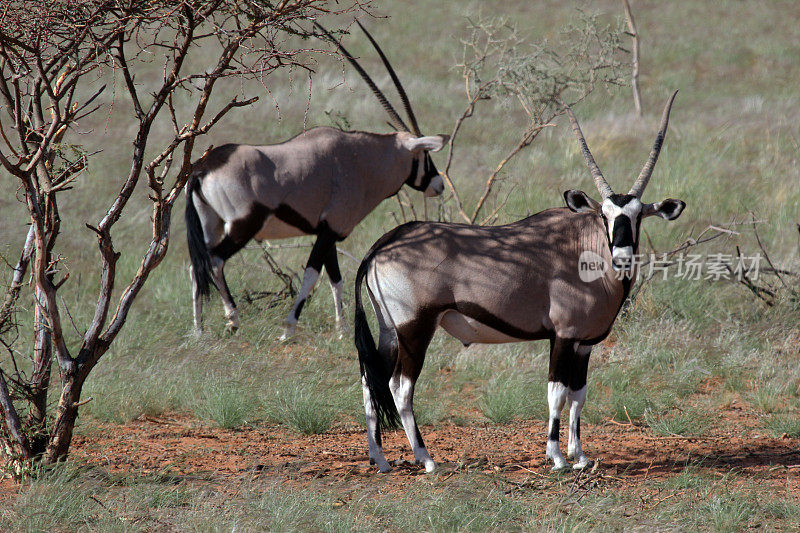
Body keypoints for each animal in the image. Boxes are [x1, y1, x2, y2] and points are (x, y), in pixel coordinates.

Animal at [188, 21, 450, 336]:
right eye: (425, 155)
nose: (439, 184)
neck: (360, 159)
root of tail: (203, 169)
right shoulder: (328, 231)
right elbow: (312, 275)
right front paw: (288, 329)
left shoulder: (329, 232)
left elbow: (335, 278)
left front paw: (342, 330)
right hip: (242, 226)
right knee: (215, 260)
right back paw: (233, 317)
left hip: (210, 224)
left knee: (197, 266)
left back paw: (198, 330)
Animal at [354, 90, 684, 470]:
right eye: (604, 215)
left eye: (637, 216)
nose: (622, 257)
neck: (583, 247)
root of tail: (383, 244)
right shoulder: (563, 336)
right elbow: (557, 393)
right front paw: (557, 457)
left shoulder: (584, 342)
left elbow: (579, 395)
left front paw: (580, 456)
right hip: (415, 329)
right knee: (400, 387)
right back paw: (426, 458)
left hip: (389, 330)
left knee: (371, 380)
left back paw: (379, 458)